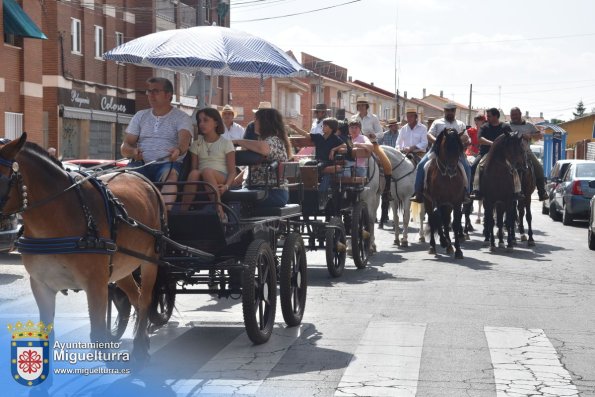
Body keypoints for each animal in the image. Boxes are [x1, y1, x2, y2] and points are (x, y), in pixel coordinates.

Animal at [0, 133, 165, 362]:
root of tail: (142, 178)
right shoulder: (41, 285)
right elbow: (47, 336)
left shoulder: (95, 285)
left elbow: (98, 337)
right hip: (121, 268)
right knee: (136, 298)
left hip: (150, 261)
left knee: (146, 298)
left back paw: (140, 348)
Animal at [426, 128, 468, 258]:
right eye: (446, 147)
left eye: (459, 149)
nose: (452, 170)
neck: (447, 178)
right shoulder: (437, 201)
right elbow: (438, 219)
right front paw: (443, 241)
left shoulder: (457, 202)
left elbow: (455, 223)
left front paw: (458, 250)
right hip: (429, 202)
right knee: (433, 220)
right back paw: (434, 246)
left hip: (447, 205)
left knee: (446, 221)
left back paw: (449, 246)